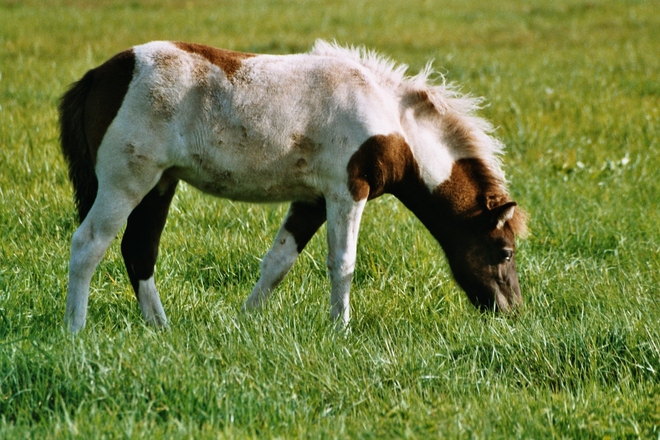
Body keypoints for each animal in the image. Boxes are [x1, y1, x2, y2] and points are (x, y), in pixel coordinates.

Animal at [59, 40, 528, 334]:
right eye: (504, 252)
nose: (513, 312)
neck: (387, 119)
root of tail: (100, 75)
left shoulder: (311, 200)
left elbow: (278, 262)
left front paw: (244, 319)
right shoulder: (346, 192)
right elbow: (343, 263)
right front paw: (341, 329)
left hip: (159, 185)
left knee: (139, 251)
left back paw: (161, 328)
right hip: (126, 183)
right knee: (88, 244)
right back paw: (75, 331)